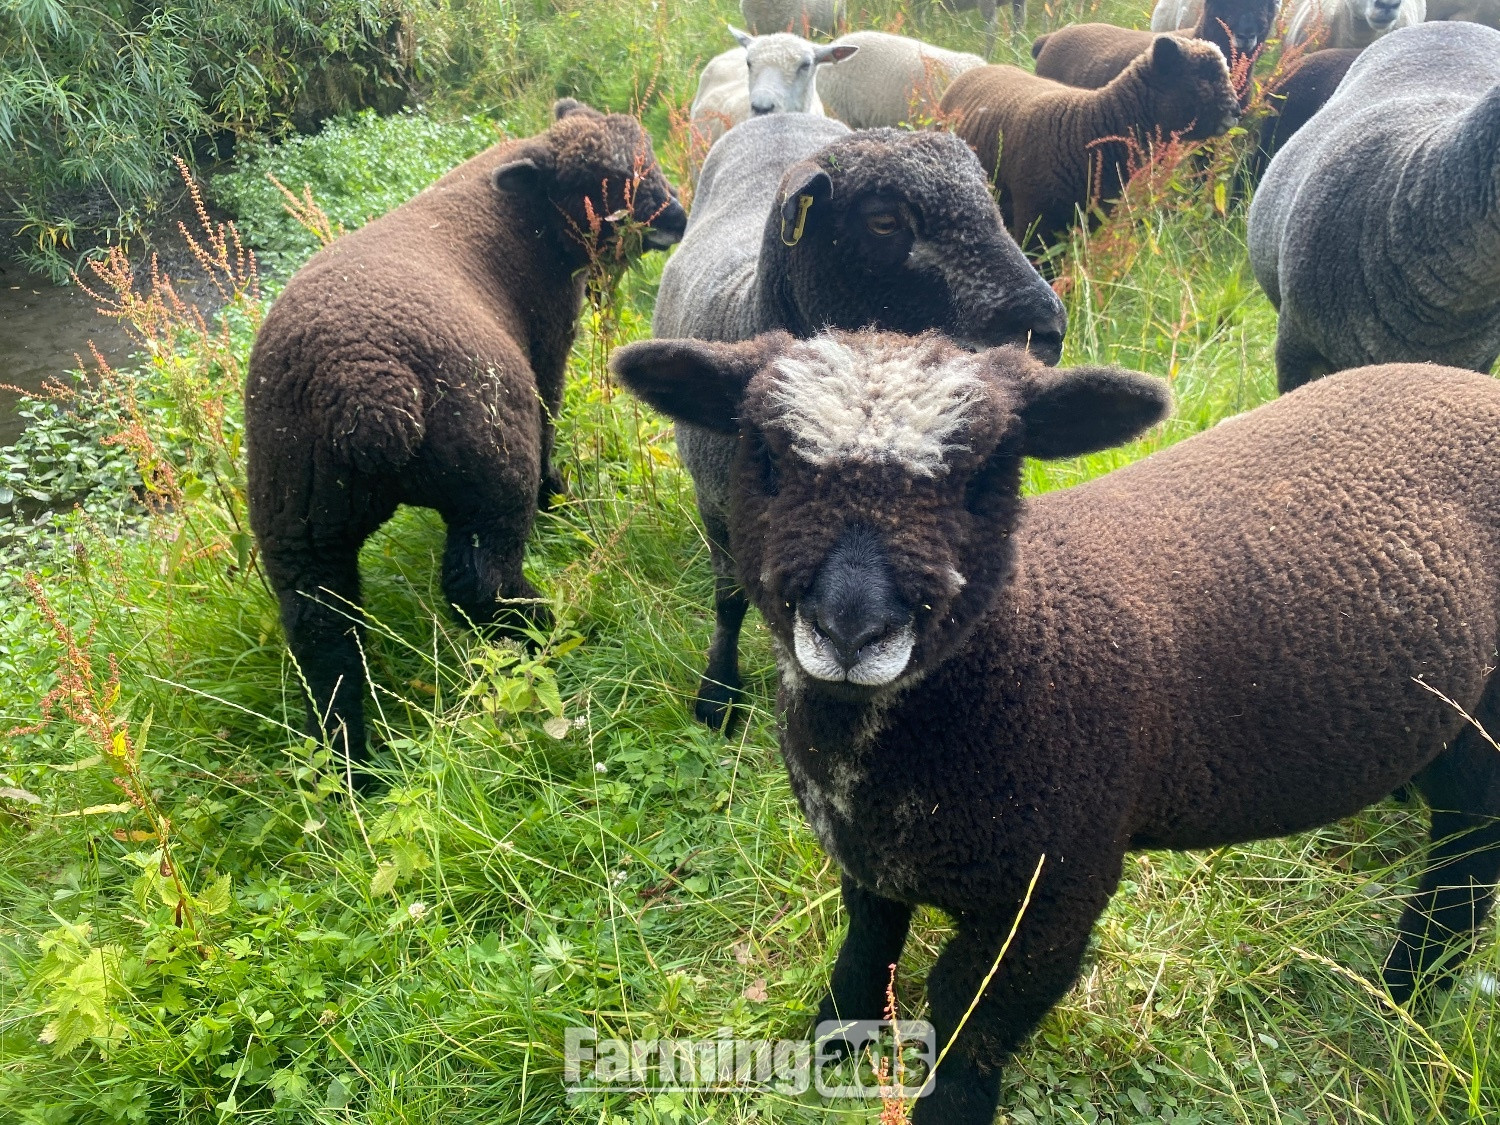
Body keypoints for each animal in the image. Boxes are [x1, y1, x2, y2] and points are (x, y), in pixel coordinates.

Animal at [245, 100, 686, 786]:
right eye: (604, 181)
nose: (678, 219)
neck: (525, 215)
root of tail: (366, 385)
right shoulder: (547, 343)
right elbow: (551, 415)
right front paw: (561, 499)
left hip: (295, 513)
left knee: (323, 632)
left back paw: (353, 764)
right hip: (490, 462)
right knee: (478, 581)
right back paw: (544, 628)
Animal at [613, 326, 1500, 1125]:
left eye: (985, 475)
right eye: (765, 457)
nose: (851, 629)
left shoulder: (1057, 889)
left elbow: (969, 1018)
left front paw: (946, 1109)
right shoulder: (866, 854)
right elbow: (868, 946)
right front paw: (829, 1043)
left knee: (1468, 858)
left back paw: (1405, 993)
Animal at [652, 113, 1066, 732]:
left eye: (990, 205)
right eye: (885, 221)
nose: (1048, 332)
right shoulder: (717, 504)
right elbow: (729, 600)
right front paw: (717, 695)